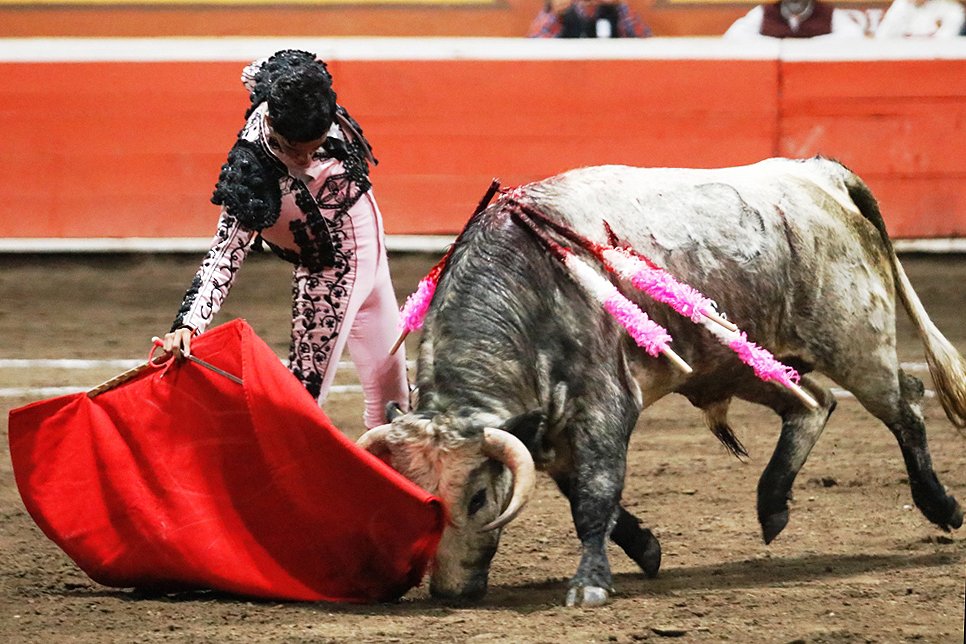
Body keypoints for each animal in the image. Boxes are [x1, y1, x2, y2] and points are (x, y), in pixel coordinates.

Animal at [358, 157, 965, 607]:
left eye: (480, 496)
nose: (448, 593)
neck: (527, 285)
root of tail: (818, 173)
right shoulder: (548, 432)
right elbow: (585, 494)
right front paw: (646, 549)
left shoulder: (604, 407)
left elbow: (594, 496)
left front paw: (590, 585)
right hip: (744, 360)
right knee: (812, 403)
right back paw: (772, 506)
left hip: (856, 345)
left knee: (904, 405)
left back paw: (941, 507)